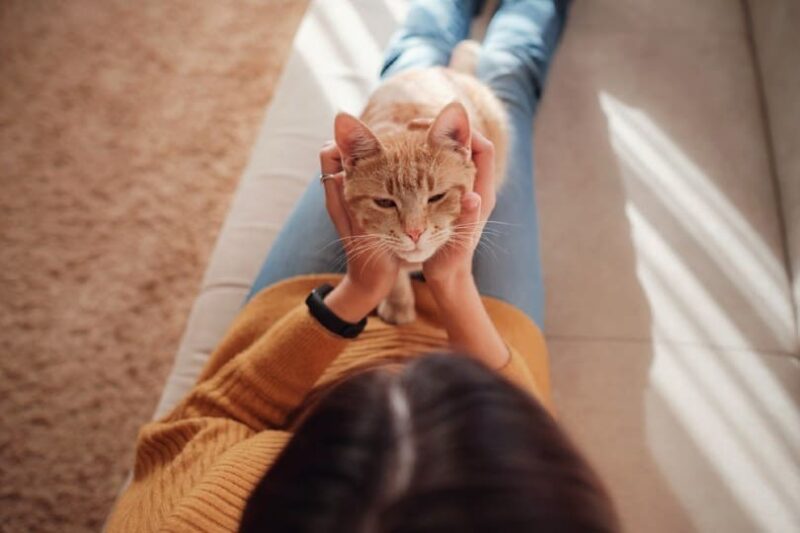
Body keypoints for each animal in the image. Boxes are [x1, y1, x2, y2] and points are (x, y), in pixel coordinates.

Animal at [334, 41, 510, 322]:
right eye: (385, 202)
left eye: (436, 197)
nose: (415, 233)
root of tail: (441, 70)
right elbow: (394, 275)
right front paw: (398, 303)